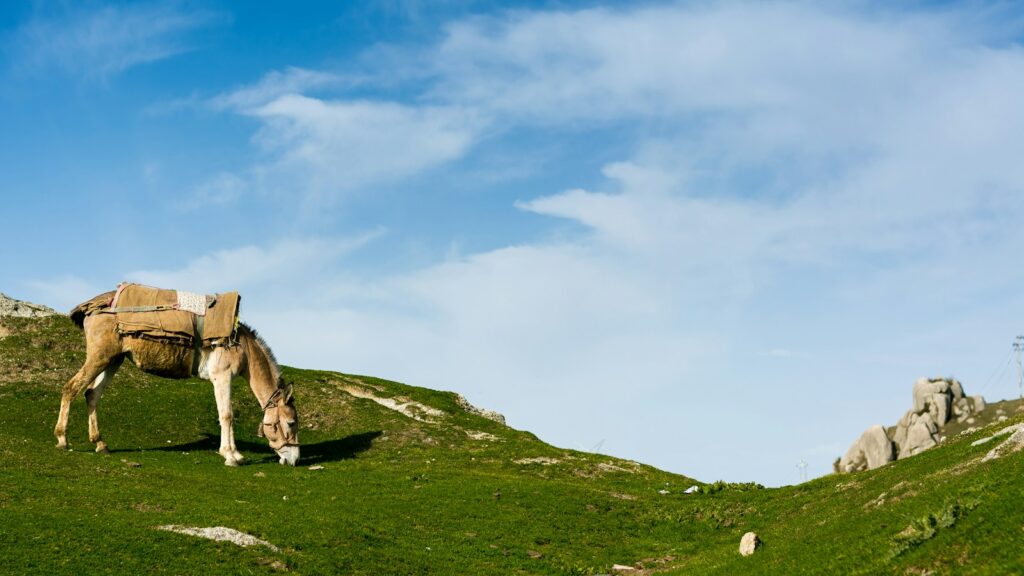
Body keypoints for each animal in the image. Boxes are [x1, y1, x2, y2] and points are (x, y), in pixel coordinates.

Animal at [54, 291, 300, 466]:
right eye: (291, 423)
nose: (294, 460)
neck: (242, 346)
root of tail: (92, 308)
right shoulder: (222, 377)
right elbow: (227, 415)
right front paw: (230, 456)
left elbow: (227, 415)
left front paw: (236, 454)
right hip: (100, 356)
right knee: (71, 388)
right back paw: (62, 439)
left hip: (113, 360)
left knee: (91, 394)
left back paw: (100, 443)